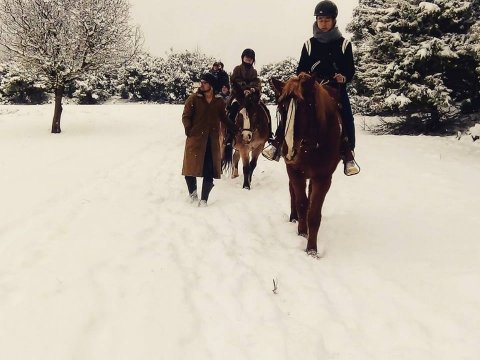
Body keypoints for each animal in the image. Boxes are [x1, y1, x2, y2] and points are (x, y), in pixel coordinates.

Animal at [272, 73, 344, 258]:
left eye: (304, 108)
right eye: (281, 108)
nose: (289, 151)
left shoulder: (323, 178)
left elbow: (314, 213)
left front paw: (311, 249)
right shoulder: (294, 171)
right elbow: (301, 204)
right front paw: (302, 232)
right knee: (293, 193)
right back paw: (293, 217)